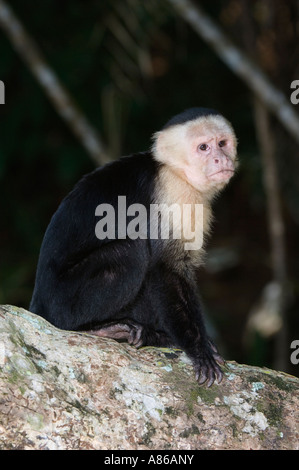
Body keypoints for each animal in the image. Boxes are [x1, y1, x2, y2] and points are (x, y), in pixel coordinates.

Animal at [30, 108, 239, 388]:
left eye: (222, 143)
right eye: (203, 147)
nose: (220, 158)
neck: (175, 171)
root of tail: (37, 304)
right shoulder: (173, 193)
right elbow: (165, 269)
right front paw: (199, 349)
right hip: (62, 301)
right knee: (132, 252)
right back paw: (96, 329)